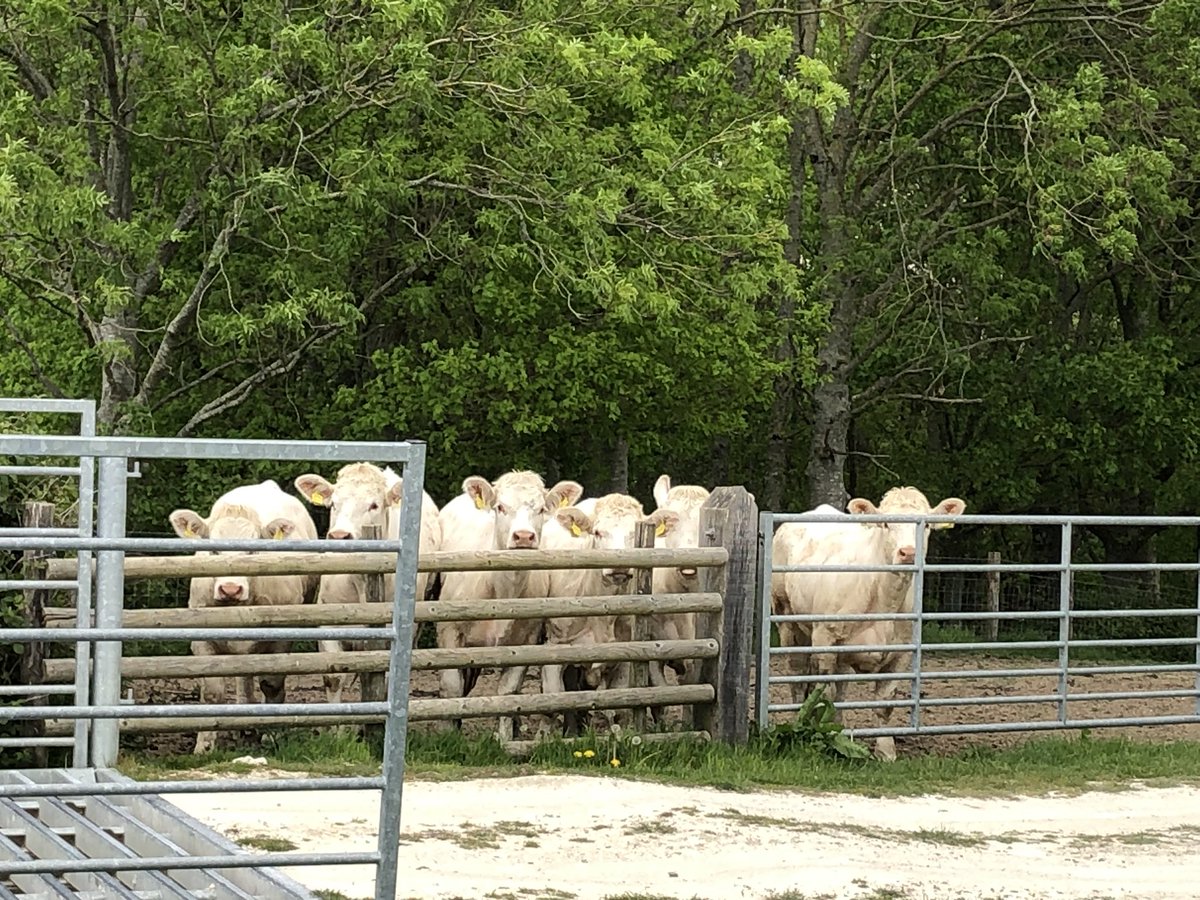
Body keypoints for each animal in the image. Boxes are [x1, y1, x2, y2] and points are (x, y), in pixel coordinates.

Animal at [168, 479, 319, 754]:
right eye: (213, 550)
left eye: (253, 549)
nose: (230, 588)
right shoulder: (201, 641)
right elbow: (213, 692)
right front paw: (204, 746)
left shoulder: (281, 639)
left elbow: (272, 684)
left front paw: (271, 735)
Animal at [436, 470, 584, 742]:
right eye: (500, 507)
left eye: (541, 509)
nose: (523, 536)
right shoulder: (449, 632)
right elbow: (451, 687)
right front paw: (446, 735)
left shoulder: (526, 641)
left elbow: (507, 694)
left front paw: (504, 740)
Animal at [540, 493, 680, 735]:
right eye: (597, 532)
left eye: (634, 533)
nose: (620, 567)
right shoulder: (554, 647)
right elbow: (554, 701)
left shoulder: (624, 655)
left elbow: (619, 709)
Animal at [770, 486, 966, 760]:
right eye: (885, 523)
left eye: (926, 525)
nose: (908, 553)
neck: (884, 599)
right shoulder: (826, 639)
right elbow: (827, 695)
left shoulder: (901, 653)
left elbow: (884, 703)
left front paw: (885, 751)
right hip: (787, 621)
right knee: (797, 676)